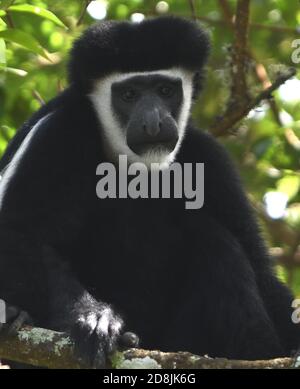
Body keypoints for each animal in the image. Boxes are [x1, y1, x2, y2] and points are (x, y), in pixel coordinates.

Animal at [0, 15, 300, 366]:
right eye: (129, 94)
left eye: (165, 90)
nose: (154, 122)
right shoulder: (58, 134)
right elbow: (22, 235)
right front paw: (93, 317)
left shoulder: (209, 160)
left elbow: (260, 268)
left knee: (217, 241)